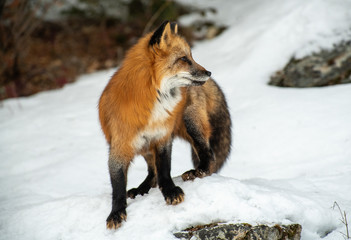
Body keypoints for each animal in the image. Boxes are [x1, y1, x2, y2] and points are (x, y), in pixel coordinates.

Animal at [99, 20, 232, 229]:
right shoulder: (120, 146)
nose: (209, 73)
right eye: (184, 59)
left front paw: (170, 191)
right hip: (145, 146)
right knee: (151, 173)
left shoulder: (162, 137)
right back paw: (141, 189)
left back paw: (198, 171)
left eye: (191, 56)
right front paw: (116, 212)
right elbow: (118, 185)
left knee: (209, 155)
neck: (153, 103)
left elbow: (165, 169)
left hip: (190, 122)